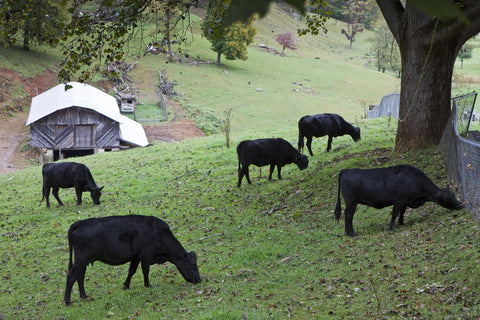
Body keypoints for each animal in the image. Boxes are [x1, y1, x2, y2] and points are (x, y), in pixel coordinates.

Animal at [64, 215, 201, 304]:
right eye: (194, 265)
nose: (199, 280)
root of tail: (79, 223)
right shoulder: (146, 256)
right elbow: (145, 271)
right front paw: (148, 285)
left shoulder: (136, 256)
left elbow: (132, 271)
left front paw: (126, 286)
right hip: (81, 260)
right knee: (71, 276)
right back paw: (67, 301)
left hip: (82, 261)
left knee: (80, 277)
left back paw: (83, 296)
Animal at [334, 164, 464, 236]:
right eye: (447, 198)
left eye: (453, 194)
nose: (461, 205)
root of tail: (346, 170)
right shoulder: (400, 200)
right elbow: (395, 212)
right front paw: (392, 227)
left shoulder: (406, 201)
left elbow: (402, 212)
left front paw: (402, 223)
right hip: (351, 202)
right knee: (348, 215)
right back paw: (351, 233)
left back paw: (347, 232)